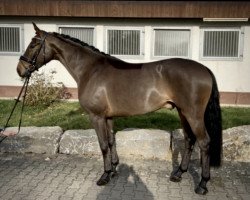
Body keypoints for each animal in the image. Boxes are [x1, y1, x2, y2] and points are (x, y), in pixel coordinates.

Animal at [16, 22, 222, 195]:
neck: (90, 70)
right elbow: (111, 141)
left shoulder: (96, 117)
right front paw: (114, 169)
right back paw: (179, 173)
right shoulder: (107, 117)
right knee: (189, 140)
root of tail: (204, 69)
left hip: (193, 114)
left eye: (33, 44)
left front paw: (105, 175)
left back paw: (202, 184)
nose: (20, 69)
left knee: (204, 142)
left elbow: (103, 145)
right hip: (182, 112)